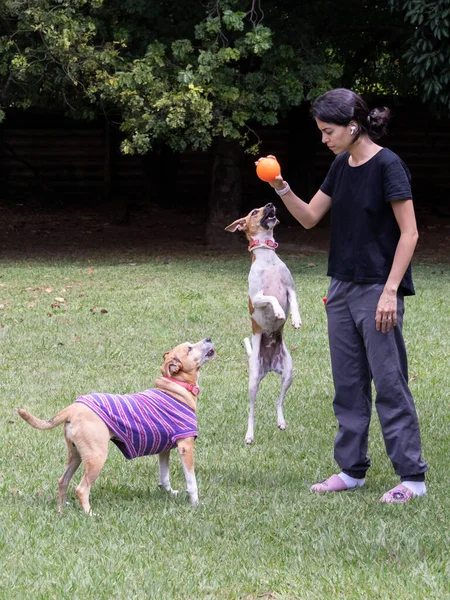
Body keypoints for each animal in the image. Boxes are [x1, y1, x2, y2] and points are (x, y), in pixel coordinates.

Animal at [17, 340, 214, 512]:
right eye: (189, 348)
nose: (208, 338)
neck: (176, 387)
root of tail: (73, 408)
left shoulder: (164, 450)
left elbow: (164, 478)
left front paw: (171, 493)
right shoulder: (185, 447)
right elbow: (192, 482)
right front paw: (196, 504)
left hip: (76, 455)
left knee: (62, 481)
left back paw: (61, 510)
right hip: (97, 456)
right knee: (81, 489)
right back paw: (89, 513)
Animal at [225, 204, 302, 442]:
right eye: (253, 212)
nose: (271, 204)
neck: (267, 258)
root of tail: (268, 366)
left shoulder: (290, 289)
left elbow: (294, 303)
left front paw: (295, 319)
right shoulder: (257, 298)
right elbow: (272, 299)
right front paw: (278, 311)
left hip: (288, 373)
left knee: (279, 401)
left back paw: (281, 421)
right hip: (253, 382)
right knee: (252, 410)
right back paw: (249, 434)